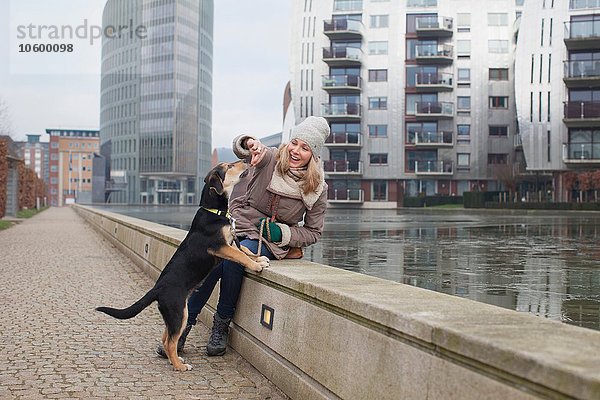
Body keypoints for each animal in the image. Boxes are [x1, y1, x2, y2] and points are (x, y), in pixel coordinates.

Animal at [96, 160, 270, 372]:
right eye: (228, 167)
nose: (246, 161)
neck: (215, 210)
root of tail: (157, 288)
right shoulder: (219, 246)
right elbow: (240, 254)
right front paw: (255, 265)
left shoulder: (230, 241)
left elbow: (244, 249)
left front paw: (259, 259)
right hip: (179, 312)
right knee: (170, 342)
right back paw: (179, 366)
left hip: (174, 316)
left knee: (165, 339)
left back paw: (176, 360)